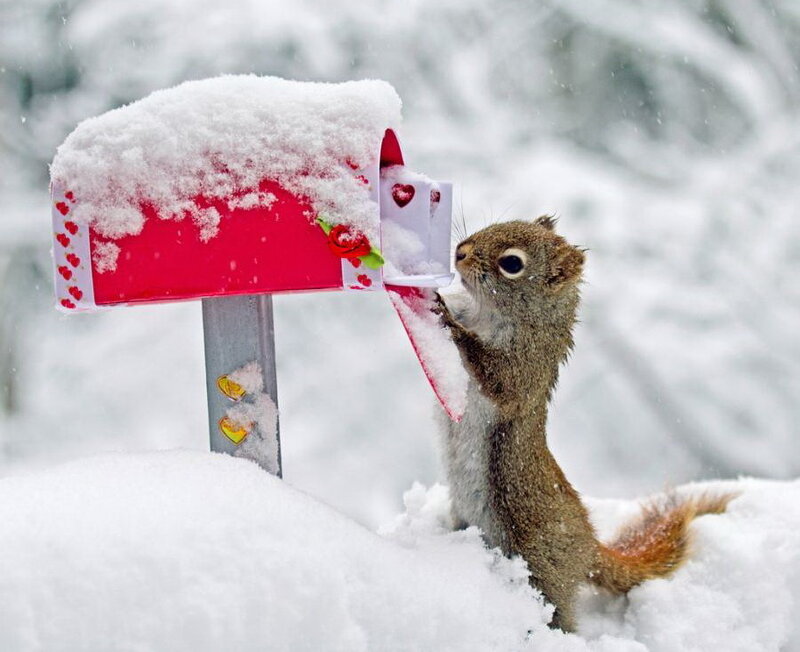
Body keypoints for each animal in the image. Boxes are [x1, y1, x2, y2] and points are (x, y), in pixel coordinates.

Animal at [434, 217, 733, 632]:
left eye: (512, 264)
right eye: (497, 223)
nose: (460, 252)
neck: (487, 312)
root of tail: (588, 545)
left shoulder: (526, 367)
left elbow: (497, 378)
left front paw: (450, 322)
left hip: (542, 562)